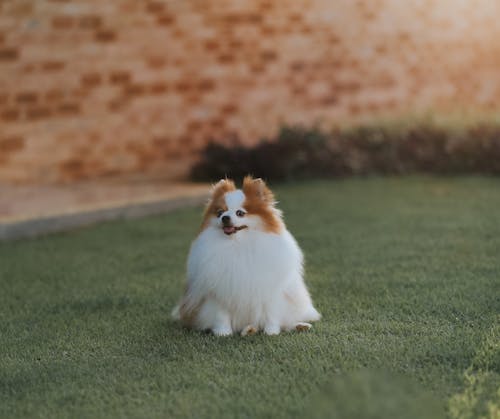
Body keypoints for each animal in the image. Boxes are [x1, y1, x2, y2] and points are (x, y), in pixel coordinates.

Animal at [172, 176, 320, 336]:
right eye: (220, 212)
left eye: (240, 213)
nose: (225, 218)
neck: (237, 244)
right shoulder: (218, 289)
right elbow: (221, 314)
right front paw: (223, 333)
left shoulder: (271, 289)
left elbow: (271, 313)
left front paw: (271, 331)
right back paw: (250, 329)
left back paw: (299, 325)